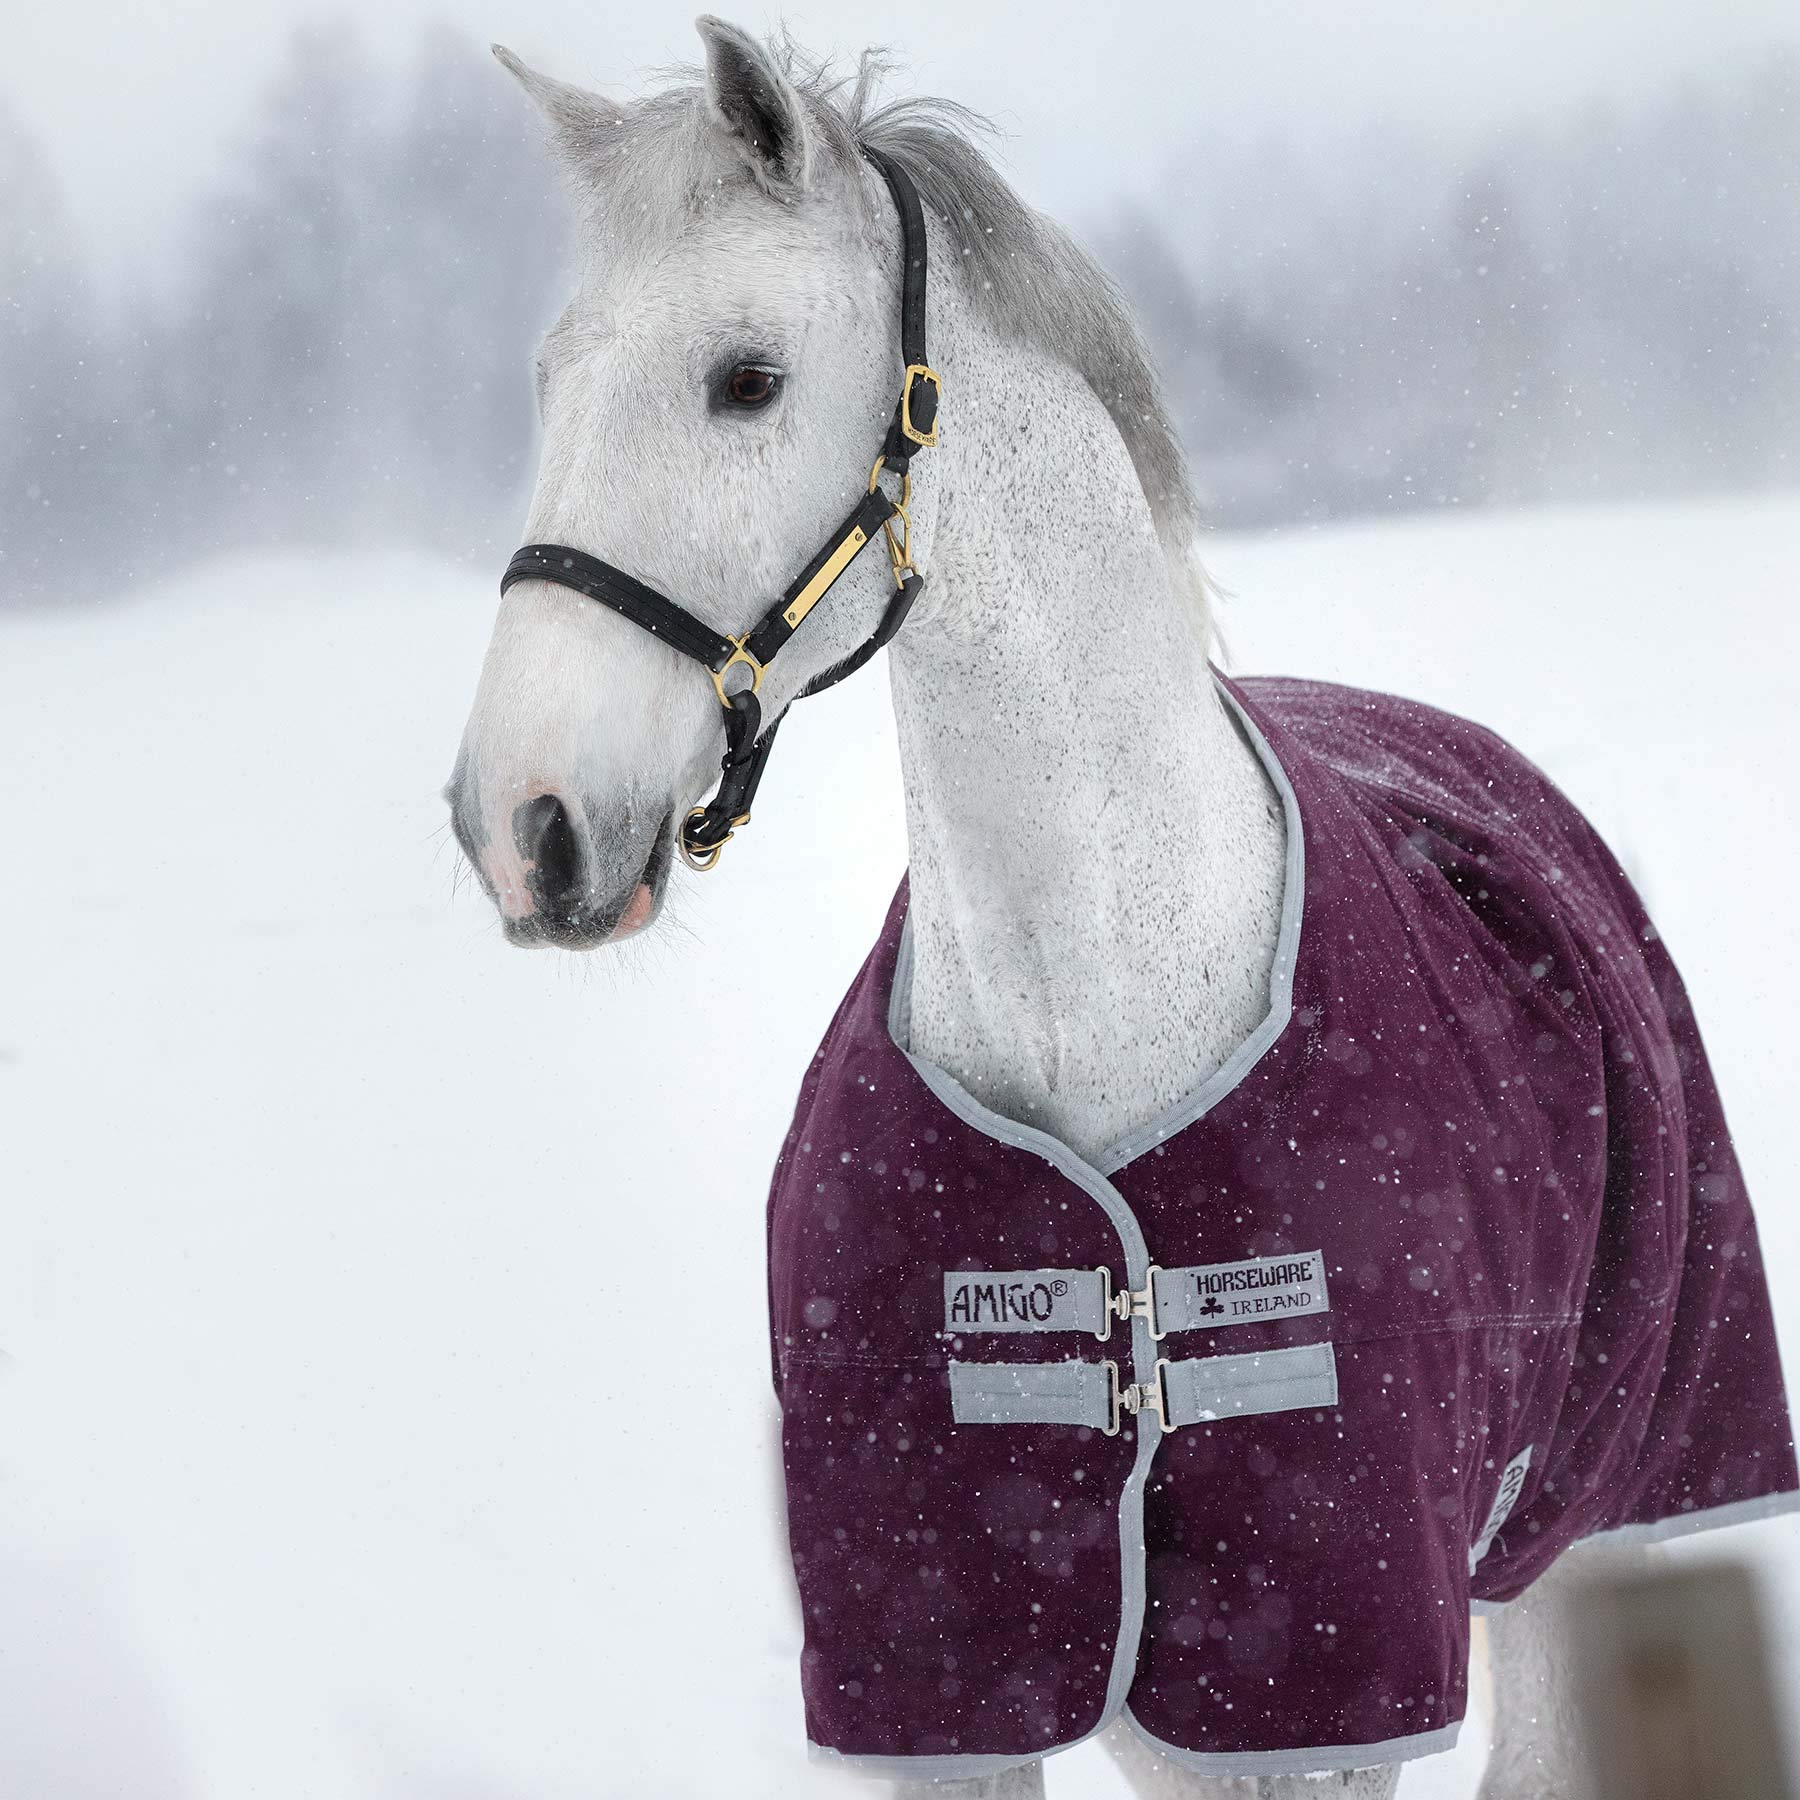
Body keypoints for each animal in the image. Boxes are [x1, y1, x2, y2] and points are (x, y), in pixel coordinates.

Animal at [446, 20, 1793, 1798]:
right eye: (549, 377)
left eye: (746, 376)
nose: (518, 822)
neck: (1079, 996)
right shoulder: (942, 1683)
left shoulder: (1321, 1693)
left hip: (1616, 1519)